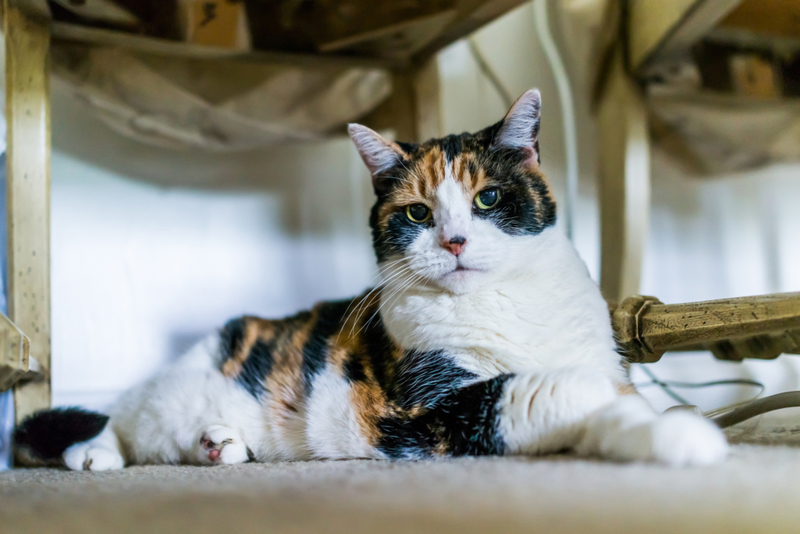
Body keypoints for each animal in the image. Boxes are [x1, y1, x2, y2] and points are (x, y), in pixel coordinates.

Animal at [12, 90, 728, 472]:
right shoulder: (427, 412)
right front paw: (681, 432)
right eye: (416, 213)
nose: (455, 240)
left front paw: (666, 425)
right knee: (121, 420)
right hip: (169, 396)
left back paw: (221, 445)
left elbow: (618, 400)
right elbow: (551, 390)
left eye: (489, 198)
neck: (503, 308)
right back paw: (96, 455)